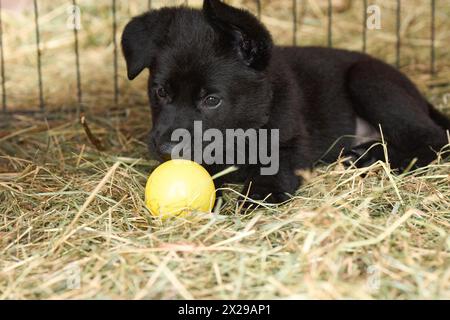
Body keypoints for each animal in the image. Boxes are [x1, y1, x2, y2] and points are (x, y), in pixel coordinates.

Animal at [121, 0, 448, 202]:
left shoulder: (293, 145)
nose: (165, 149)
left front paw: (259, 195)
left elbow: (275, 168)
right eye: (160, 92)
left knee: (434, 138)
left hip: (368, 80)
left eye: (212, 100)